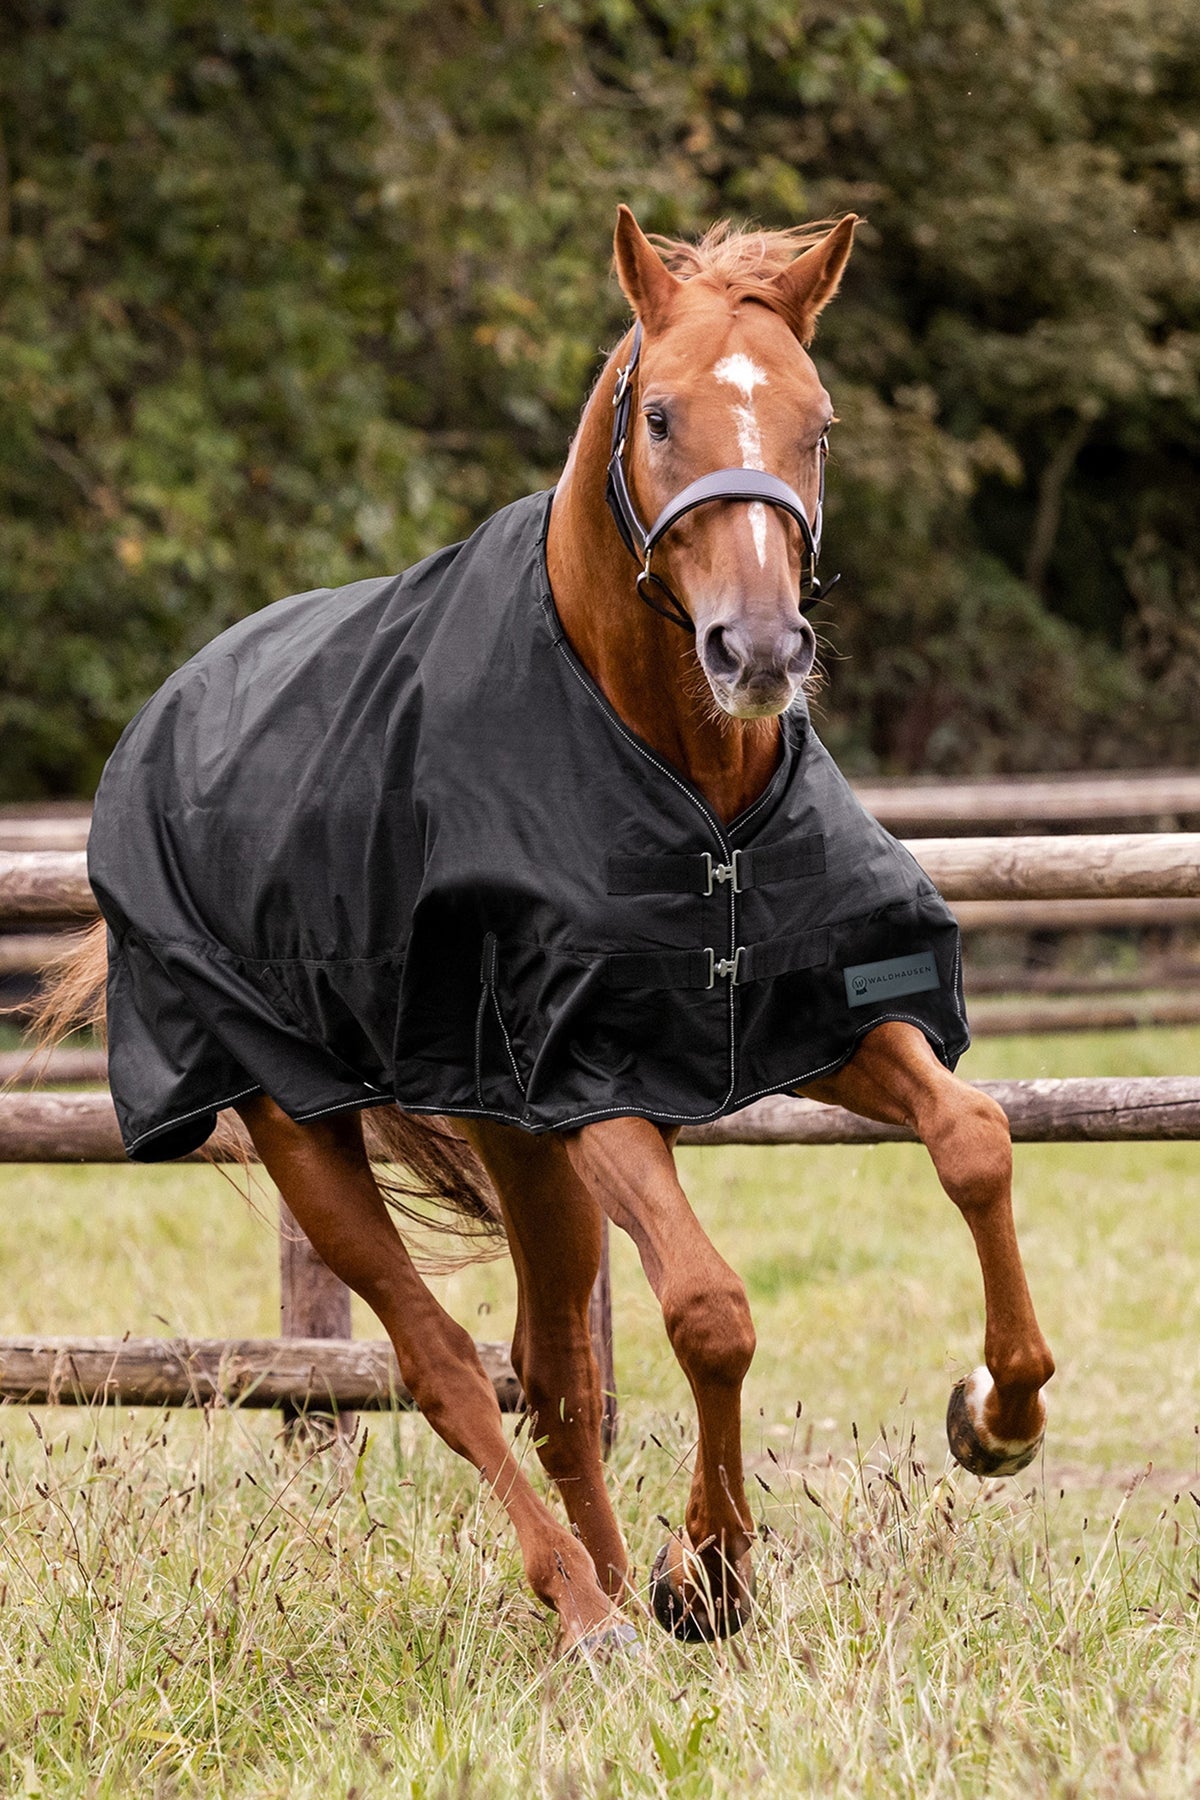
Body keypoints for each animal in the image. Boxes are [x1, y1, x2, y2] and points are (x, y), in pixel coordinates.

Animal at [36, 207, 1054, 1659]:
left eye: (818, 422)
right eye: (663, 415)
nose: (758, 651)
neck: (692, 789)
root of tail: (164, 716)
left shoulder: (818, 1021)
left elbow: (973, 1139)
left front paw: (996, 1418)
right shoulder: (594, 1084)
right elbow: (710, 1310)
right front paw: (717, 1569)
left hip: (518, 1146)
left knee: (553, 1369)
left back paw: (620, 1594)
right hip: (311, 1132)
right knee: (447, 1367)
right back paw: (585, 1603)